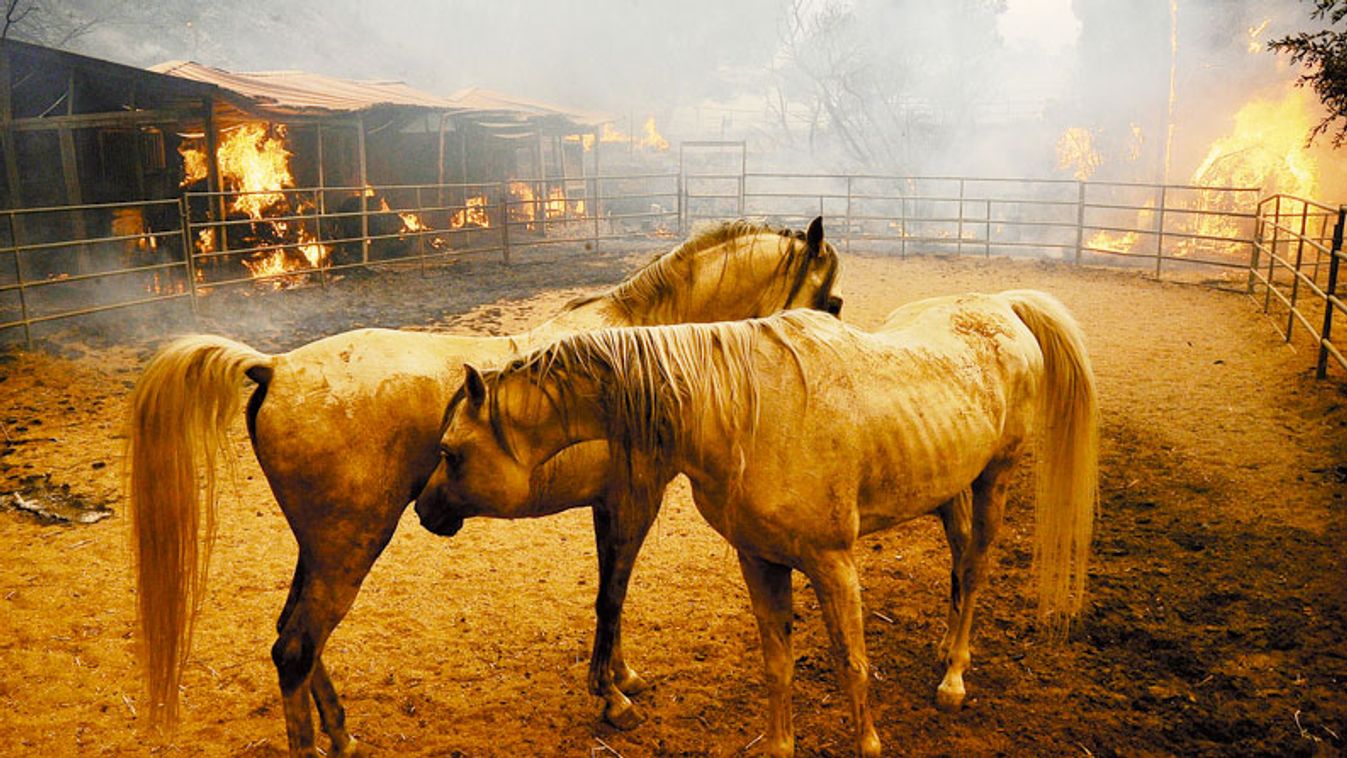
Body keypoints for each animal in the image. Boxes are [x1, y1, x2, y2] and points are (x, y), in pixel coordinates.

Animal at [126, 216, 840, 753]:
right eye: (829, 300)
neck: (639, 356)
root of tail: (274, 366)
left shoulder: (608, 506)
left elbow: (610, 599)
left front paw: (621, 676)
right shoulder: (635, 502)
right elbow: (611, 598)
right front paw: (611, 699)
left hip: (324, 549)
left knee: (296, 636)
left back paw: (342, 734)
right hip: (349, 546)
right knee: (296, 649)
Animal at [422, 289, 1104, 753]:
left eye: (451, 451)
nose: (424, 510)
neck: (738, 410)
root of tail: (1001, 305)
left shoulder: (833, 563)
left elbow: (851, 664)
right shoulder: (760, 559)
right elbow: (777, 663)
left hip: (996, 478)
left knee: (977, 564)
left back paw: (955, 678)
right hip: (948, 485)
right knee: (961, 563)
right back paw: (943, 648)